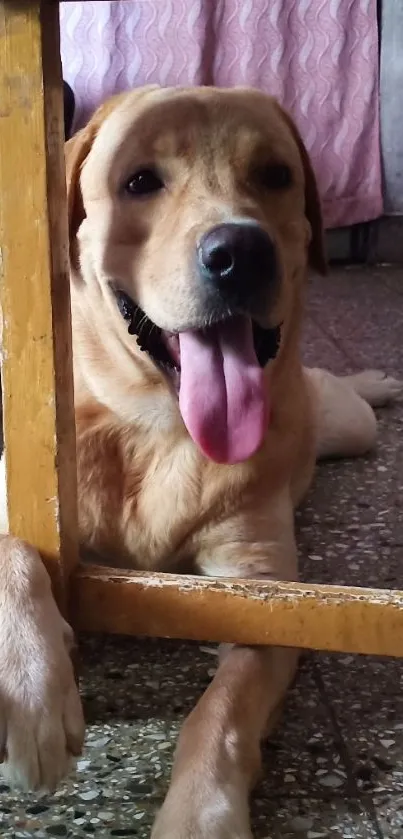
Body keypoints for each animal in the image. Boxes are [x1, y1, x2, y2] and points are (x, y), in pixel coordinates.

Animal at [0, 88, 400, 836]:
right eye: (139, 181)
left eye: (274, 175)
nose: (241, 251)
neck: (158, 430)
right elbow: (13, 547)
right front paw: (30, 685)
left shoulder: (267, 597)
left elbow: (222, 713)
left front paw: (198, 813)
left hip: (347, 425)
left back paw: (374, 382)